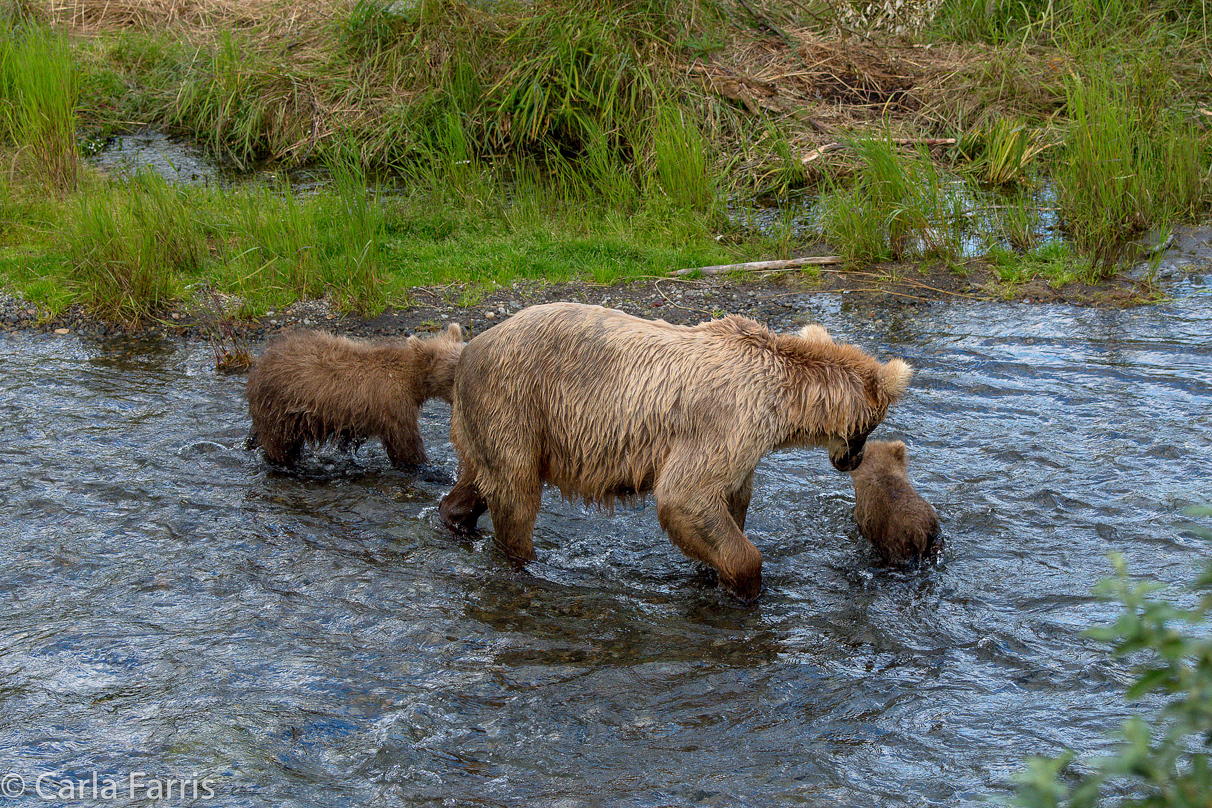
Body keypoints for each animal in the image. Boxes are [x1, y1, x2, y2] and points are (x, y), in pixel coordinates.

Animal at [243, 324, 460, 467]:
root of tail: (259, 365)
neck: (413, 381)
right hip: (280, 409)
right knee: (279, 445)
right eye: (454, 373)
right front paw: (426, 466)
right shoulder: (394, 406)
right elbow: (406, 445)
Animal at [436, 302, 911, 600]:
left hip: (487, 421)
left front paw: (711, 573)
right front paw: (747, 586)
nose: (851, 460)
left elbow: (729, 502)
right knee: (516, 494)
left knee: (479, 480)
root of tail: (469, 349)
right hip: (516, 400)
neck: (783, 400)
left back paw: (456, 519)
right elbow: (685, 495)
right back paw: (526, 564)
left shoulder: (744, 449)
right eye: (871, 426)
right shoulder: (727, 421)